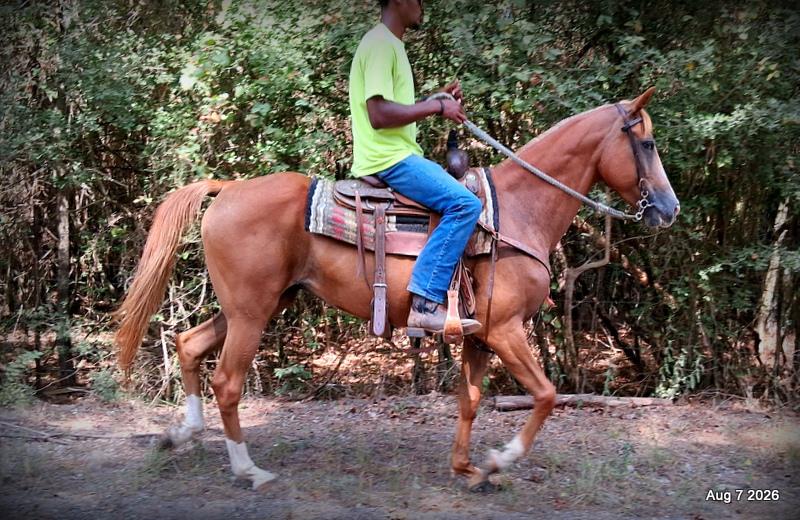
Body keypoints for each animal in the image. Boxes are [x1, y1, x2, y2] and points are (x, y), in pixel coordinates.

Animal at [115, 87, 679, 491]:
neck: (519, 210)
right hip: (252, 312)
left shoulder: (479, 335)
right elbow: (544, 395)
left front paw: (468, 469)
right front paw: (500, 460)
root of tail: (229, 188)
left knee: (189, 345)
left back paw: (180, 434)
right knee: (228, 382)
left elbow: (471, 400)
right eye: (648, 144)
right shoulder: (505, 330)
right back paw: (247, 470)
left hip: (254, 305)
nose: (669, 209)